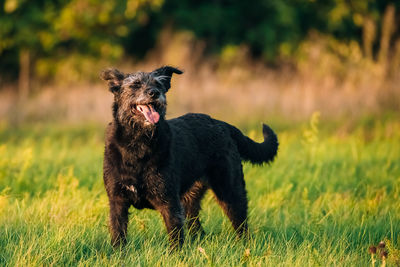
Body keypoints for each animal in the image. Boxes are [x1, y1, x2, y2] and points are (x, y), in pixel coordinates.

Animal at [100, 66, 278, 249]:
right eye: (135, 84)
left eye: (158, 84)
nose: (154, 93)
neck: (138, 144)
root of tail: (221, 123)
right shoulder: (117, 202)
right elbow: (118, 235)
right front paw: (119, 254)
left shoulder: (169, 202)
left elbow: (175, 237)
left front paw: (176, 254)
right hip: (191, 200)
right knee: (197, 228)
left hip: (230, 191)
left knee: (241, 225)